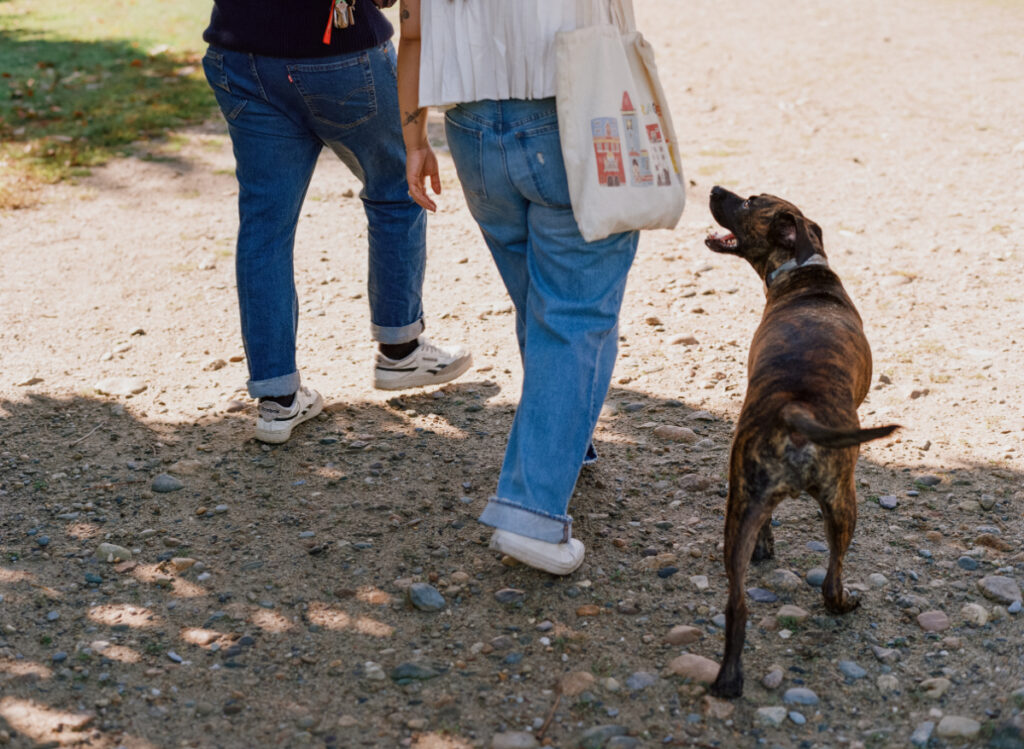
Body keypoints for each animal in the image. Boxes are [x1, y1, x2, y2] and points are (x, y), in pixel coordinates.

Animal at [704, 186, 897, 696]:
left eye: (749, 201)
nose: (713, 189)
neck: (802, 271)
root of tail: (796, 411)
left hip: (740, 505)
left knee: (737, 605)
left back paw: (728, 681)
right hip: (844, 501)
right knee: (831, 580)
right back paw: (844, 604)